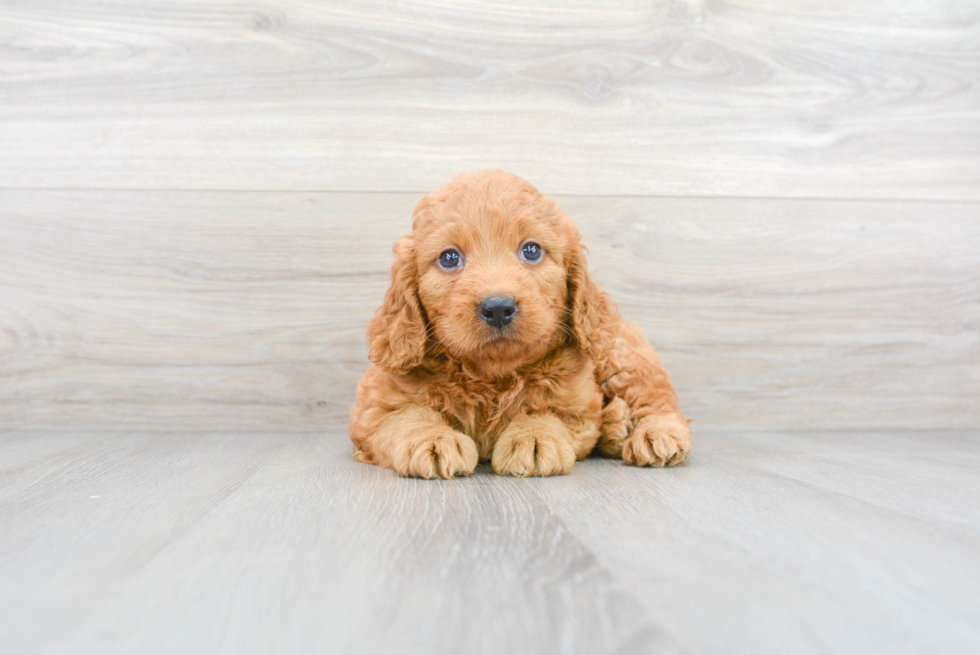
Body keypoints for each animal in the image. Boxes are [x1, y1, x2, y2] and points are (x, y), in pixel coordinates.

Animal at [350, 172, 688, 480]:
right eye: (449, 258)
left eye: (531, 250)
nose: (498, 308)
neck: (491, 375)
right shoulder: (373, 409)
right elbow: (407, 416)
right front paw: (433, 440)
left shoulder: (577, 406)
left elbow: (545, 411)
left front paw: (533, 438)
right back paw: (617, 425)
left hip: (619, 353)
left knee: (654, 396)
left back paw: (654, 433)